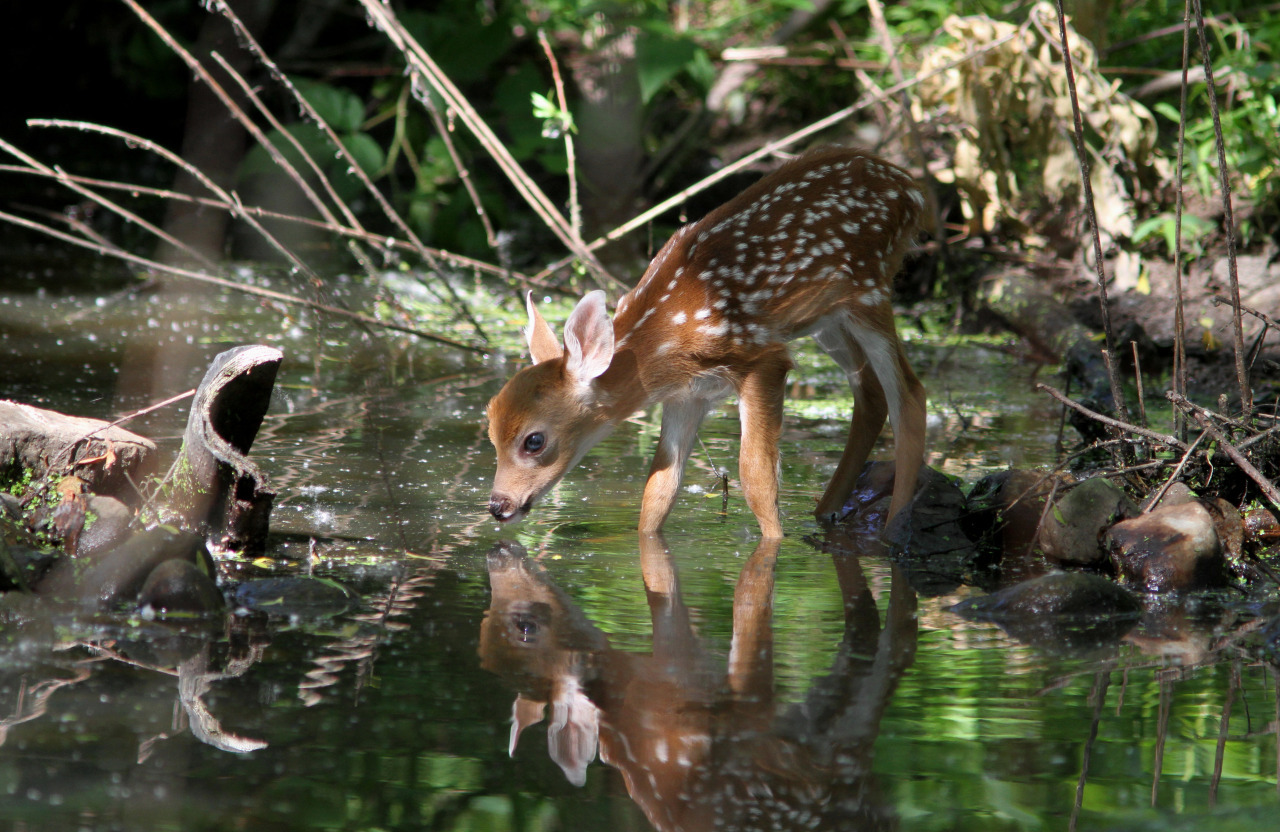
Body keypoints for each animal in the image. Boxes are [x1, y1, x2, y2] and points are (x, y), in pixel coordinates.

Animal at [483, 145, 926, 535]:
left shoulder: (761, 358)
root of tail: (911, 185)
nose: (498, 506)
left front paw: (776, 543)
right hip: (827, 319)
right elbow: (658, 491)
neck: (662, 342)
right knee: (871, 393)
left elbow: (756, 480)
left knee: (909, 393)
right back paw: (827, 513)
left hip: (868, 290)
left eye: (534, 441)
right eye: (489, 432)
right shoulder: (685, 397)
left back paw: (893, 530)